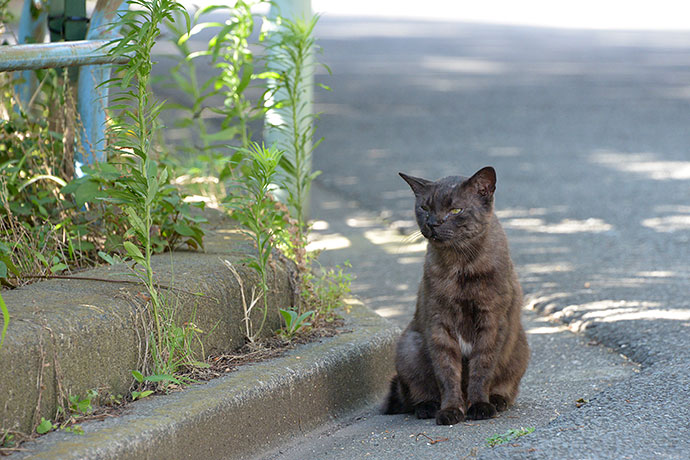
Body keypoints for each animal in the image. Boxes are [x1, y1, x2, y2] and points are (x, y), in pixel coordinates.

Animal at [382, 165, 528, 424]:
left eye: (455, 210)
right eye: (425, 208)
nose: (433, 223)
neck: (460, 267)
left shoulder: (491, 321)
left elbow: (482, 368)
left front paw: (480, 406)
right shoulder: (439, 323)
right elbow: (447, 372)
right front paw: (450, 410)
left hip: (519, 345)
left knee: (507, 386)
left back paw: (496, 401)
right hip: (409, 346)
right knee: (415, 391)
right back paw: (427, 407)